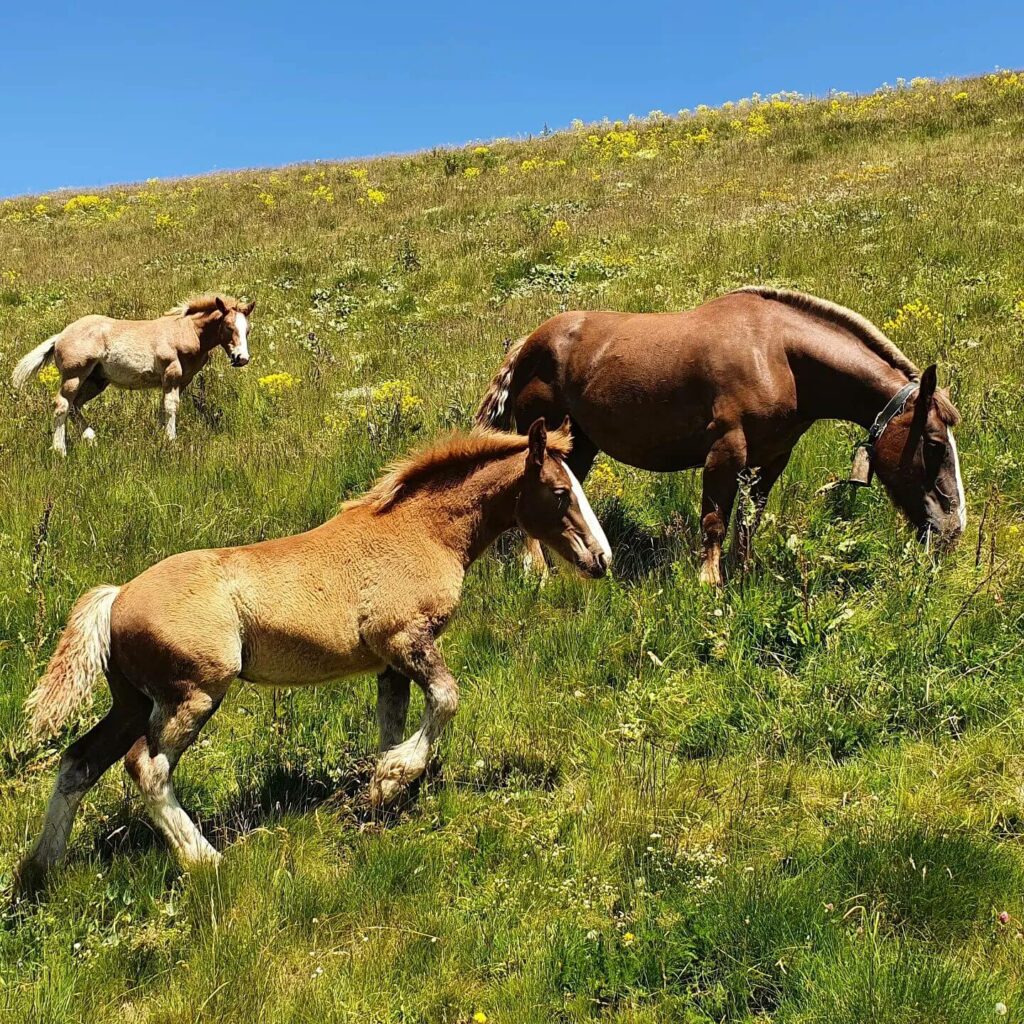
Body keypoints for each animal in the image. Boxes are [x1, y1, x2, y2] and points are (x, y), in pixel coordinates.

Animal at [19, 419, 606, 884]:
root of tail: (117, 597)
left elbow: (392, 724)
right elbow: (446, 700)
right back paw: (206, 859)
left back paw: (39, 870)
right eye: (559, 492)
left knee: (77, 763)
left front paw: (381, 794)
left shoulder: (389, 664)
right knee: (147, 767)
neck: (420, 531)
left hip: (131, 702)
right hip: (193, 694)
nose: (601, 559)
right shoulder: (406, 640)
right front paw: (394, 778)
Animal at [475, 288, 962, 585]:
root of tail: (528, 343)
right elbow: (714, 522)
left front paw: (742, 572)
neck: (778, 355)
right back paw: (535, 568)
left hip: (580, 446)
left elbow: (749, 521)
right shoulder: (725, 452)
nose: (954, 529)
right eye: (935, 445)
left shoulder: (773, 459)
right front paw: (709, 583)